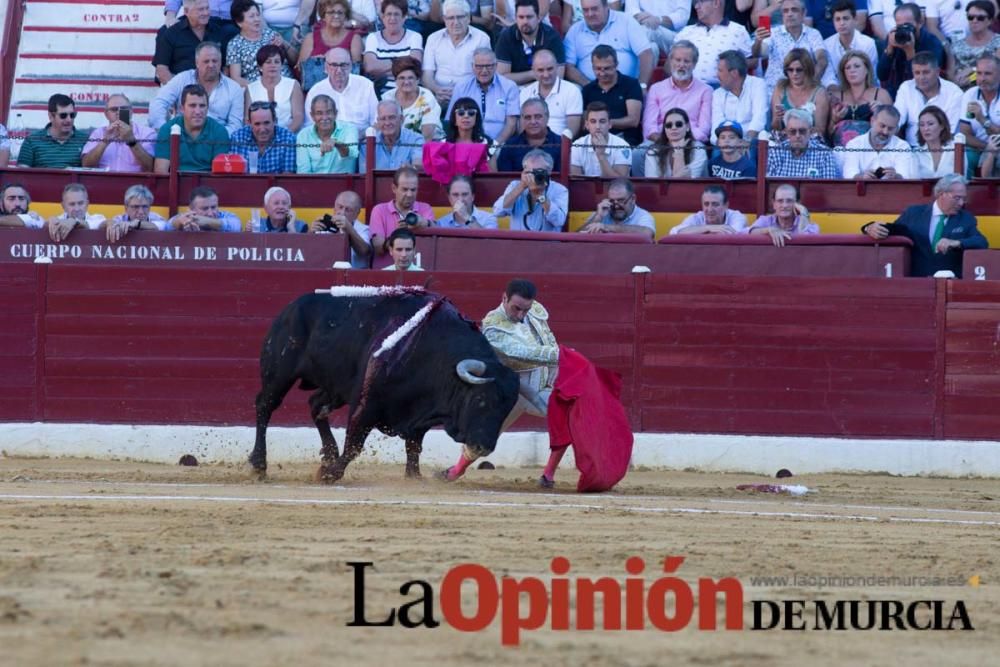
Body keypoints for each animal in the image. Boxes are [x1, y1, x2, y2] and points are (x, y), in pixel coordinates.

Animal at [250, 286, 524, 480]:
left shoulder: (419, 414)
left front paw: (414, 476)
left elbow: (414, 446)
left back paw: (328, 455)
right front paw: (329, 474)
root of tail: (291, 306)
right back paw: (259, 465)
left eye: (506, 409)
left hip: (336, 387)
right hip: (279, 373)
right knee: (265, 406)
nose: (483, 447)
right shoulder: (366, 403)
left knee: (316, 406)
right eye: (480, 399)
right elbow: (355, 444)